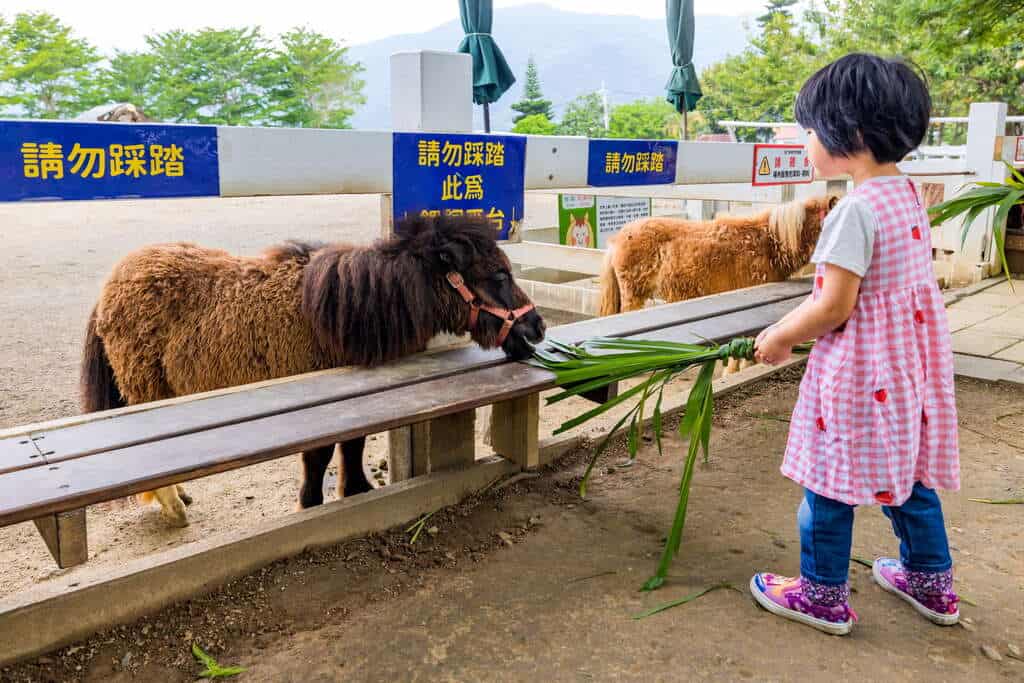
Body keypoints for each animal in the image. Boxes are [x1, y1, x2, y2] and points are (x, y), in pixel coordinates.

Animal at [81, 216, 544, 528]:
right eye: (498, 275)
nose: (537, 327)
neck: (346, 309)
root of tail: (110, 285)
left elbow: (353, 445)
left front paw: (356, 490)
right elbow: (320, 456)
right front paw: (311, 503)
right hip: (144, 387)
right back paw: (174, 508)